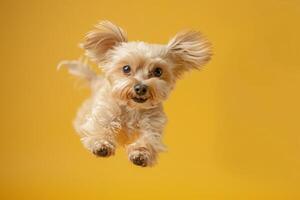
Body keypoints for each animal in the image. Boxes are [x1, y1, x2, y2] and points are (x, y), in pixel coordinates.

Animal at [58, 20, 212, 167]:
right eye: (126, 68)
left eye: (158, 71)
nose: (141, 88)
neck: (133, 109)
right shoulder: (103, 116)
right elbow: (99, 129)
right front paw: (101, 144)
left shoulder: (152, 127)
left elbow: (148, 140)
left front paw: (140, 154)